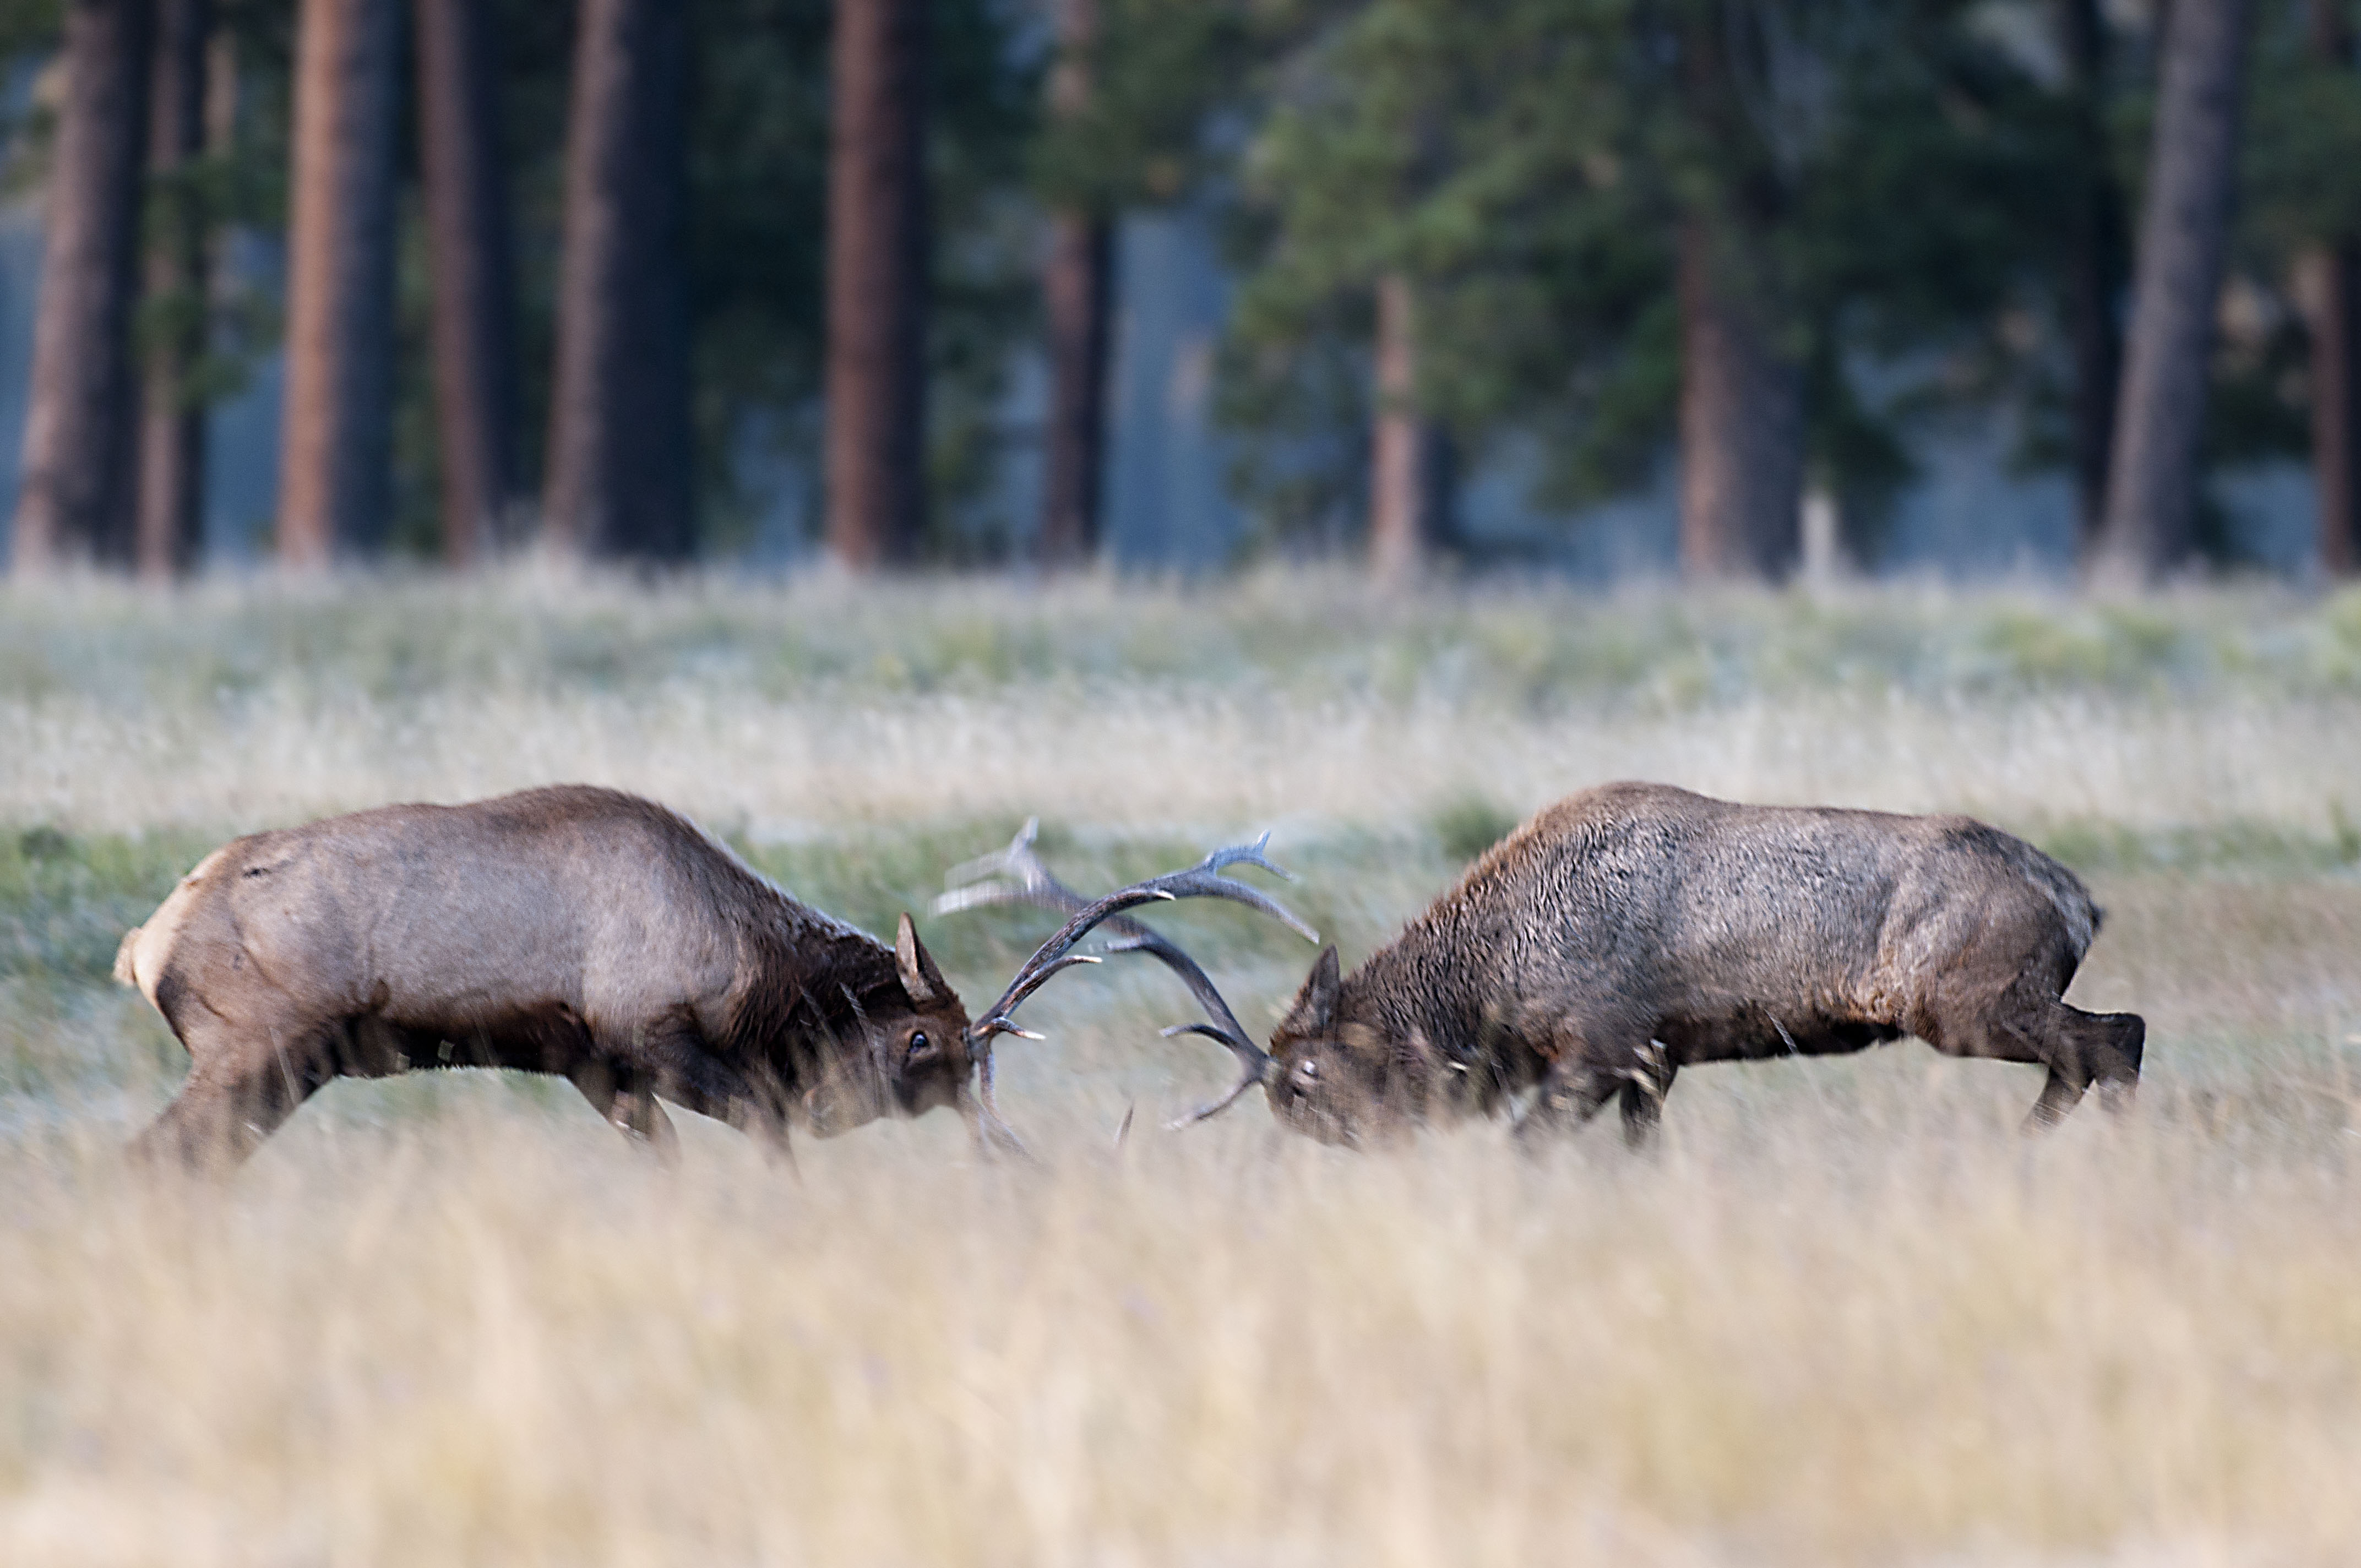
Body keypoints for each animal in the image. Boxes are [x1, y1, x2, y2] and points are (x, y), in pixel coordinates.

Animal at [115, 779, 1313, 1162]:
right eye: (922, 1036)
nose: (834, 1108)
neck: (756, 976)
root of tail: (143, 943)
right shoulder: (650, 1037)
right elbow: (766, 1135)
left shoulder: (597, 1067)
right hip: (257, 1050)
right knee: (152, 1158)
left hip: (280, 1069)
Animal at [949, 788, 2153, 1147]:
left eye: (1309, 1077)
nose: (1341, 1150)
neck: (1493, 981)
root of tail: (2078, 896)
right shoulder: (1651, 1065)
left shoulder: (1605, 1045)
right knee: (2104, 1041)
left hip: (1964, 1000)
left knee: (2113, 1038)